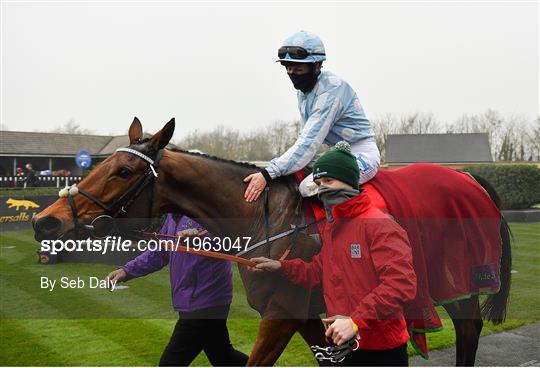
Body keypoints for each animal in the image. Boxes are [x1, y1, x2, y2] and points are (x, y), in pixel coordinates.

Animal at [33, 119, 510, 366]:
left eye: (123, 172)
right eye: (103, 164)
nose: (45, 221)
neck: (266, 219)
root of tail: (469, 178)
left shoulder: (280, 315)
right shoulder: (303, 313)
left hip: (460, 281)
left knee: (469, 329)